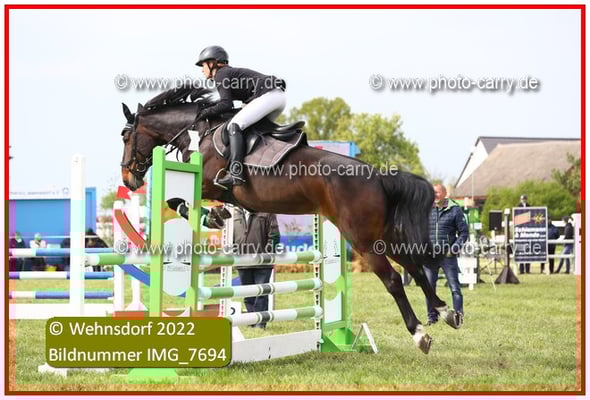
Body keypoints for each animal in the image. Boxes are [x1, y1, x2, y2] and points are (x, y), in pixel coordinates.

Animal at [118, 87, 462, 353]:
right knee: (414, 268)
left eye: (125, 136)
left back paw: (420, 334)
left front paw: (212, 215)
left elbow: (176, 201)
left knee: (393, 279)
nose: (128, 179)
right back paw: (447, 313)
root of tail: (378, 175)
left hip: (362, 239)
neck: (200, 131)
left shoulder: (208, 182)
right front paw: (218, 215)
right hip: (382, 235)